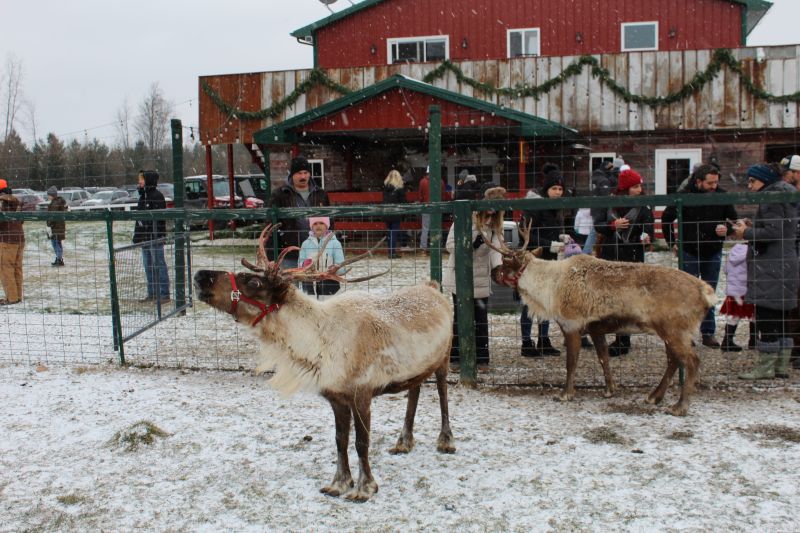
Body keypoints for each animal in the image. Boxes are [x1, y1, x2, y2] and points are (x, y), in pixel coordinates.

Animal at [193, 224, 455, 502]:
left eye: (254, 282)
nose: (200, 275)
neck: (318, 343)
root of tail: (432, 286)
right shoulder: (335, 397)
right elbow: (340, 441)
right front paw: (338, 484)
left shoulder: (362, 393)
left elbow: (361, 442)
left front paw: (364, 488)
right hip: (417, 367)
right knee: (414, 391)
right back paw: (404, 442)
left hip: (445, 357)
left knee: (443, 393)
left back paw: (446, 441)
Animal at [485, 222, 716, 416]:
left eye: (506, 262)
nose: (493, 272)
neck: (549, 289)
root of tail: (706, 292)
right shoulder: (596, 329)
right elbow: (604, 358)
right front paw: (610, 390)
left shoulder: (571, 325)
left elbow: (571, 362)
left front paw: (565, 394)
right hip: (669, 330)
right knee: (674, 360)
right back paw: (654, 397)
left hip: (674, 329)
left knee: (691, 360)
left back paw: (679, 406)